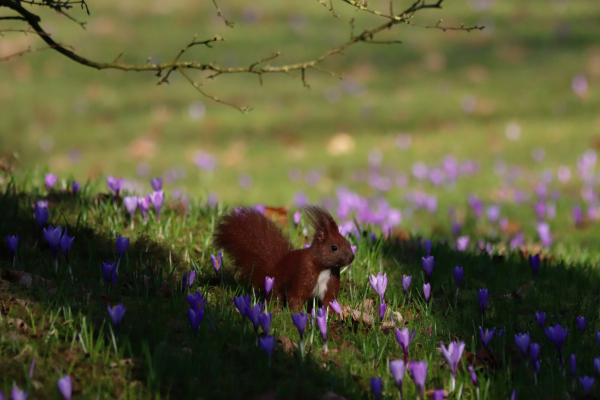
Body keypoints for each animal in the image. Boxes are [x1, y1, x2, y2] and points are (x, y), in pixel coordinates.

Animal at [214, 205, 356, 310]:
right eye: (334, 247)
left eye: (347, 242)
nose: (351, 258)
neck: (324, 268)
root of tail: (274, 269)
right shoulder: (303, 274)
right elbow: (296, 297)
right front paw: (297, 316)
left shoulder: (330, 283)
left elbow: (329, 301)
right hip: (276, 285)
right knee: (275, 297)